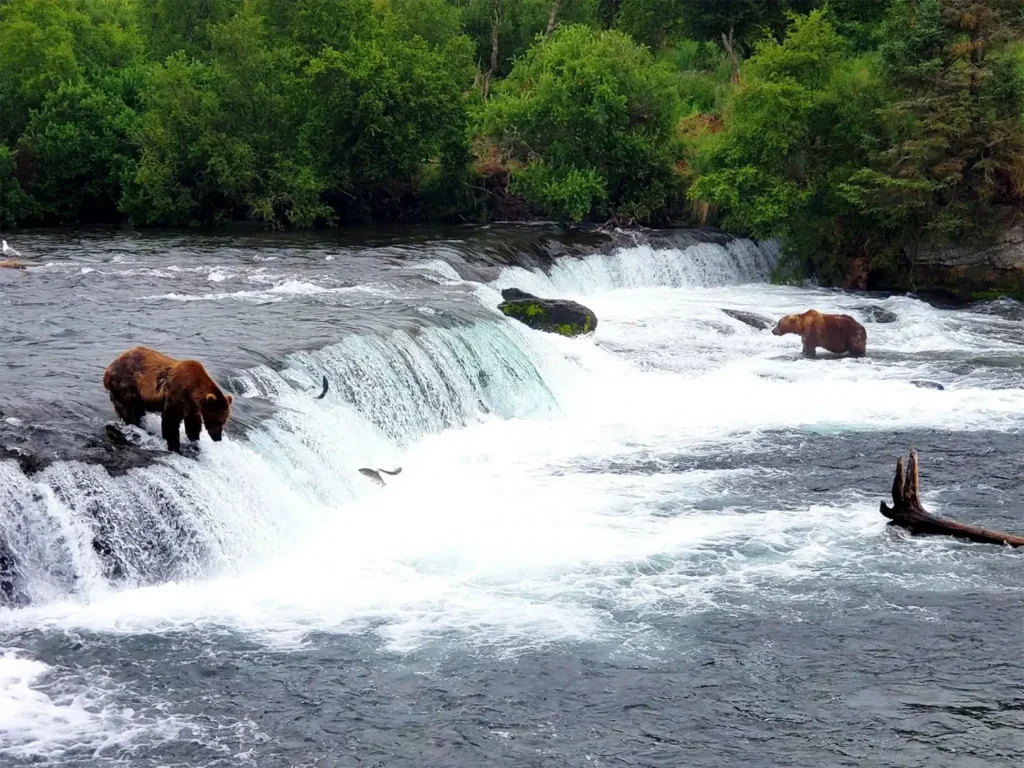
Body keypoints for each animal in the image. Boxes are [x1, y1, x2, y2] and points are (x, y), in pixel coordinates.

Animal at [103, 346, 233, 453]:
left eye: (224, 421)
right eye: (217, 421)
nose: (218, 438)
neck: (193, 390)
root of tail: (108, 370)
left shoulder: (192, 405)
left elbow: (192, 423)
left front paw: (195, 440)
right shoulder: (178, 394)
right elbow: (171, 421)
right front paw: (175, 447)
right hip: (126, 387)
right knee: (128, 411)